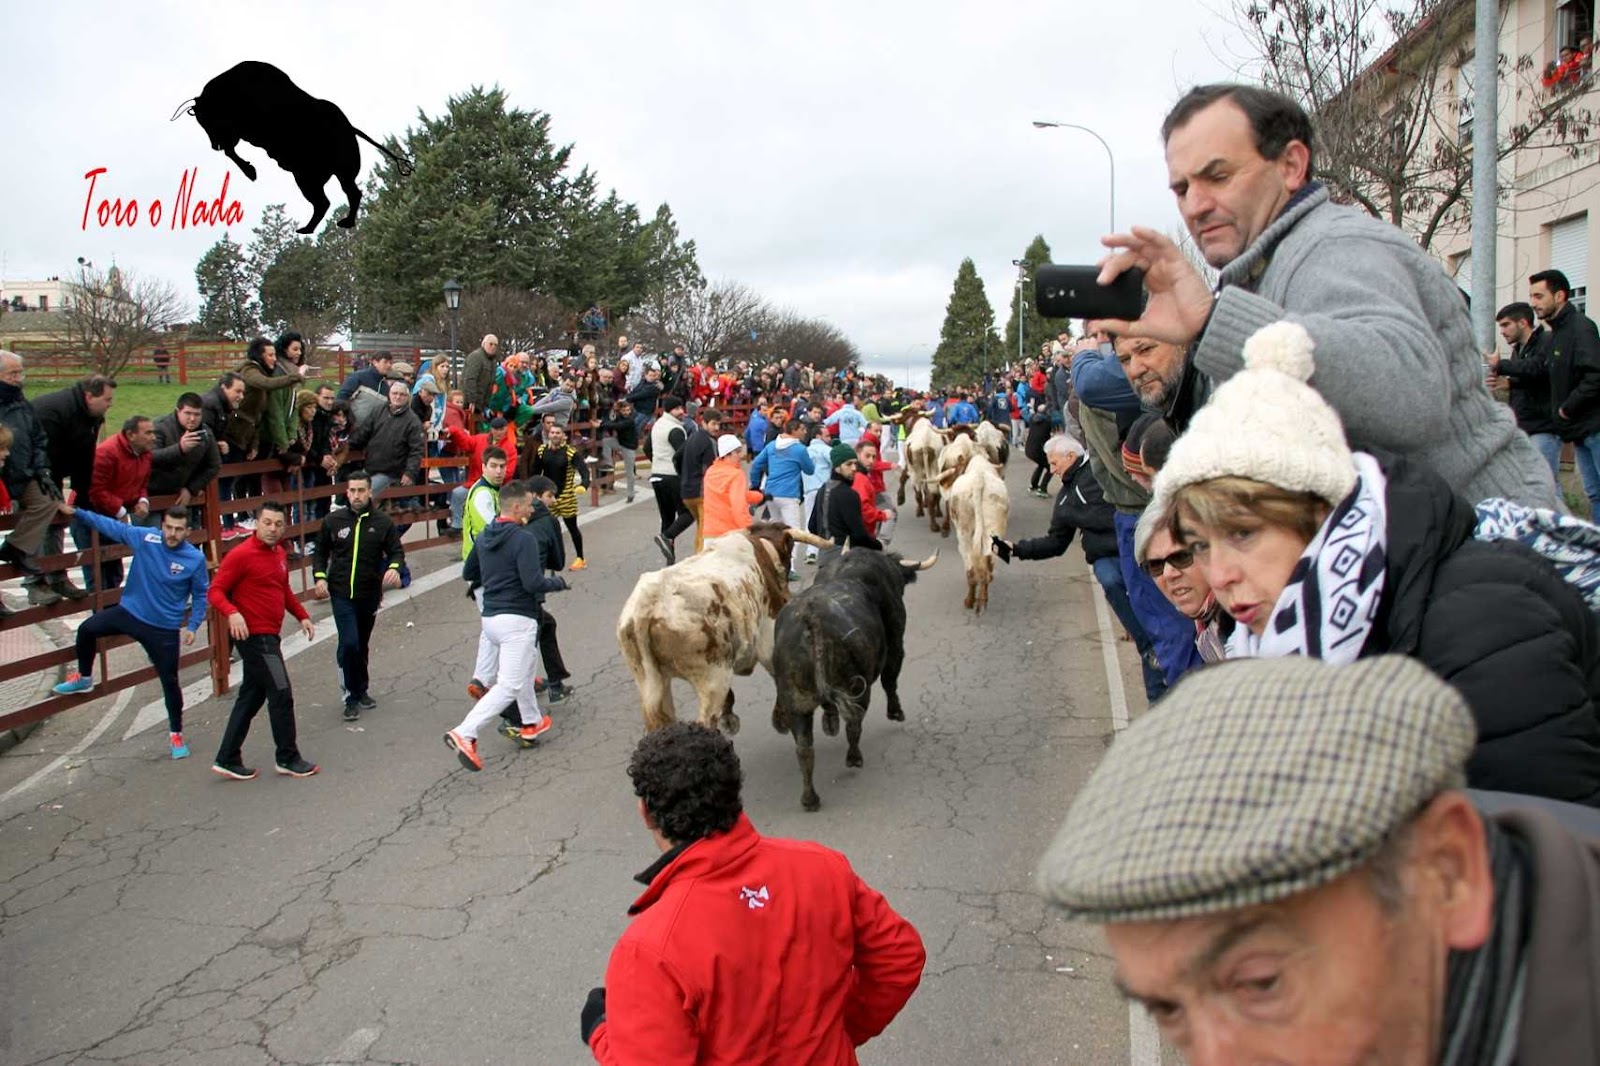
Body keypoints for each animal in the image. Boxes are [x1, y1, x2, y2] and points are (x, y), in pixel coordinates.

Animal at [173, 61, 412, 233]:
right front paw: (250, 170)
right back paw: (322, 226)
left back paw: (323, 226)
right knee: (337, 197)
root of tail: (349, 128)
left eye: (207, 119)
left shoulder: (241, 129)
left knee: (332, 199)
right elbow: (231, 151)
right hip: (323, 174)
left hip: (315, 176)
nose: (214, 145)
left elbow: (231, 149)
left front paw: (250, 171)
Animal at [617, 521, 832, 734]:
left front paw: (729, 717)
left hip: (652, 683)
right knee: (705, 721)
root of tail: (648, 601)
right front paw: (781, 717)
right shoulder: (768, 641)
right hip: (713, 679)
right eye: (788, 554)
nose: (787, 596)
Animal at [770, 548, 938, 810]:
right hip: (857, 686)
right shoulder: (895, 644)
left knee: (804, 747)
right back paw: (854, 758)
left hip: (796, 700)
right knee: (854, 723)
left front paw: (830, 722)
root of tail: (812, 616)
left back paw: (810, 799)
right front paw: (896, 712)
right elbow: (890, 680)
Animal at [945, 457, 1009, 615]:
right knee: (988, 565)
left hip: (963, 533)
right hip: (993, 530)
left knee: (971, 568)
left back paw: (970, 601)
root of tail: (979, 480)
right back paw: (983, 600)